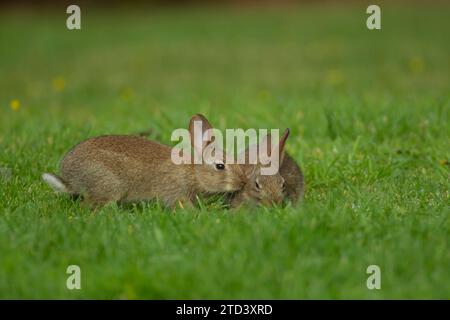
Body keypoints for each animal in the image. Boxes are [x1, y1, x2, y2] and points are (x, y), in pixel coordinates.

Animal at [41, 114, 244, 209]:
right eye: (220, 166)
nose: (241, 183)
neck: (194, 173)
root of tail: (69, 179)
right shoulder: (177, 192)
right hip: (108, 185)